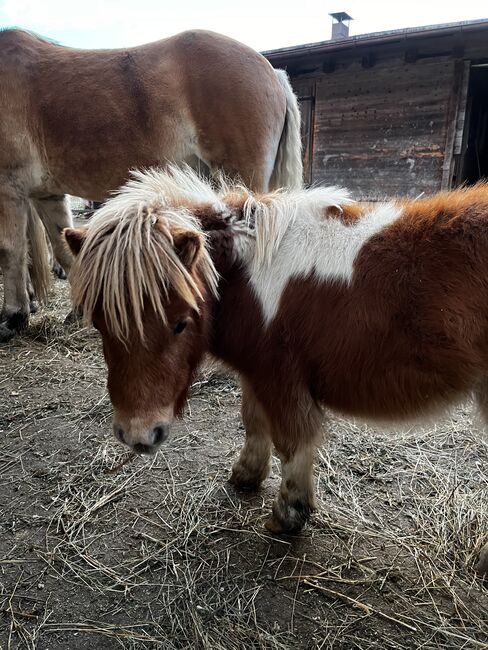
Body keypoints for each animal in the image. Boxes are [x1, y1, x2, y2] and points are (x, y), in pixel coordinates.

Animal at [0, 27, 302, 342]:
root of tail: (273, 73)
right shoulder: (46, 195)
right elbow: (62, 248)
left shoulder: (9, 187)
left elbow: (11, 250)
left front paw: (14, 317)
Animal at [63, 167, 488, 572]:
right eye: (98, 323)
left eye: (181, 323)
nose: (138, 435)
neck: (249, 272)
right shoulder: (256, 373)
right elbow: (254, 422)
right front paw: (246, 475)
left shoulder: (281, 378)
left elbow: (293, 442)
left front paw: (288, 515)